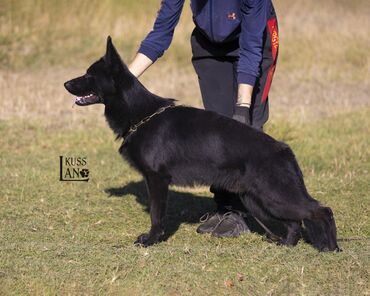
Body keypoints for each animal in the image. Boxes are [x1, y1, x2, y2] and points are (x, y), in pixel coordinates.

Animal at [64, 35, 342, 251]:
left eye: (89, 75)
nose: (65, 83)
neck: (141, 114)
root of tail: (284, 150)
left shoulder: (157, 180)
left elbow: (156, 215)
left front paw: (151, 240)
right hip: (259, 201)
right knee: (295, 221)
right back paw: (287, 244)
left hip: (274, 196)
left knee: (321, 210)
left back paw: (331, 247)